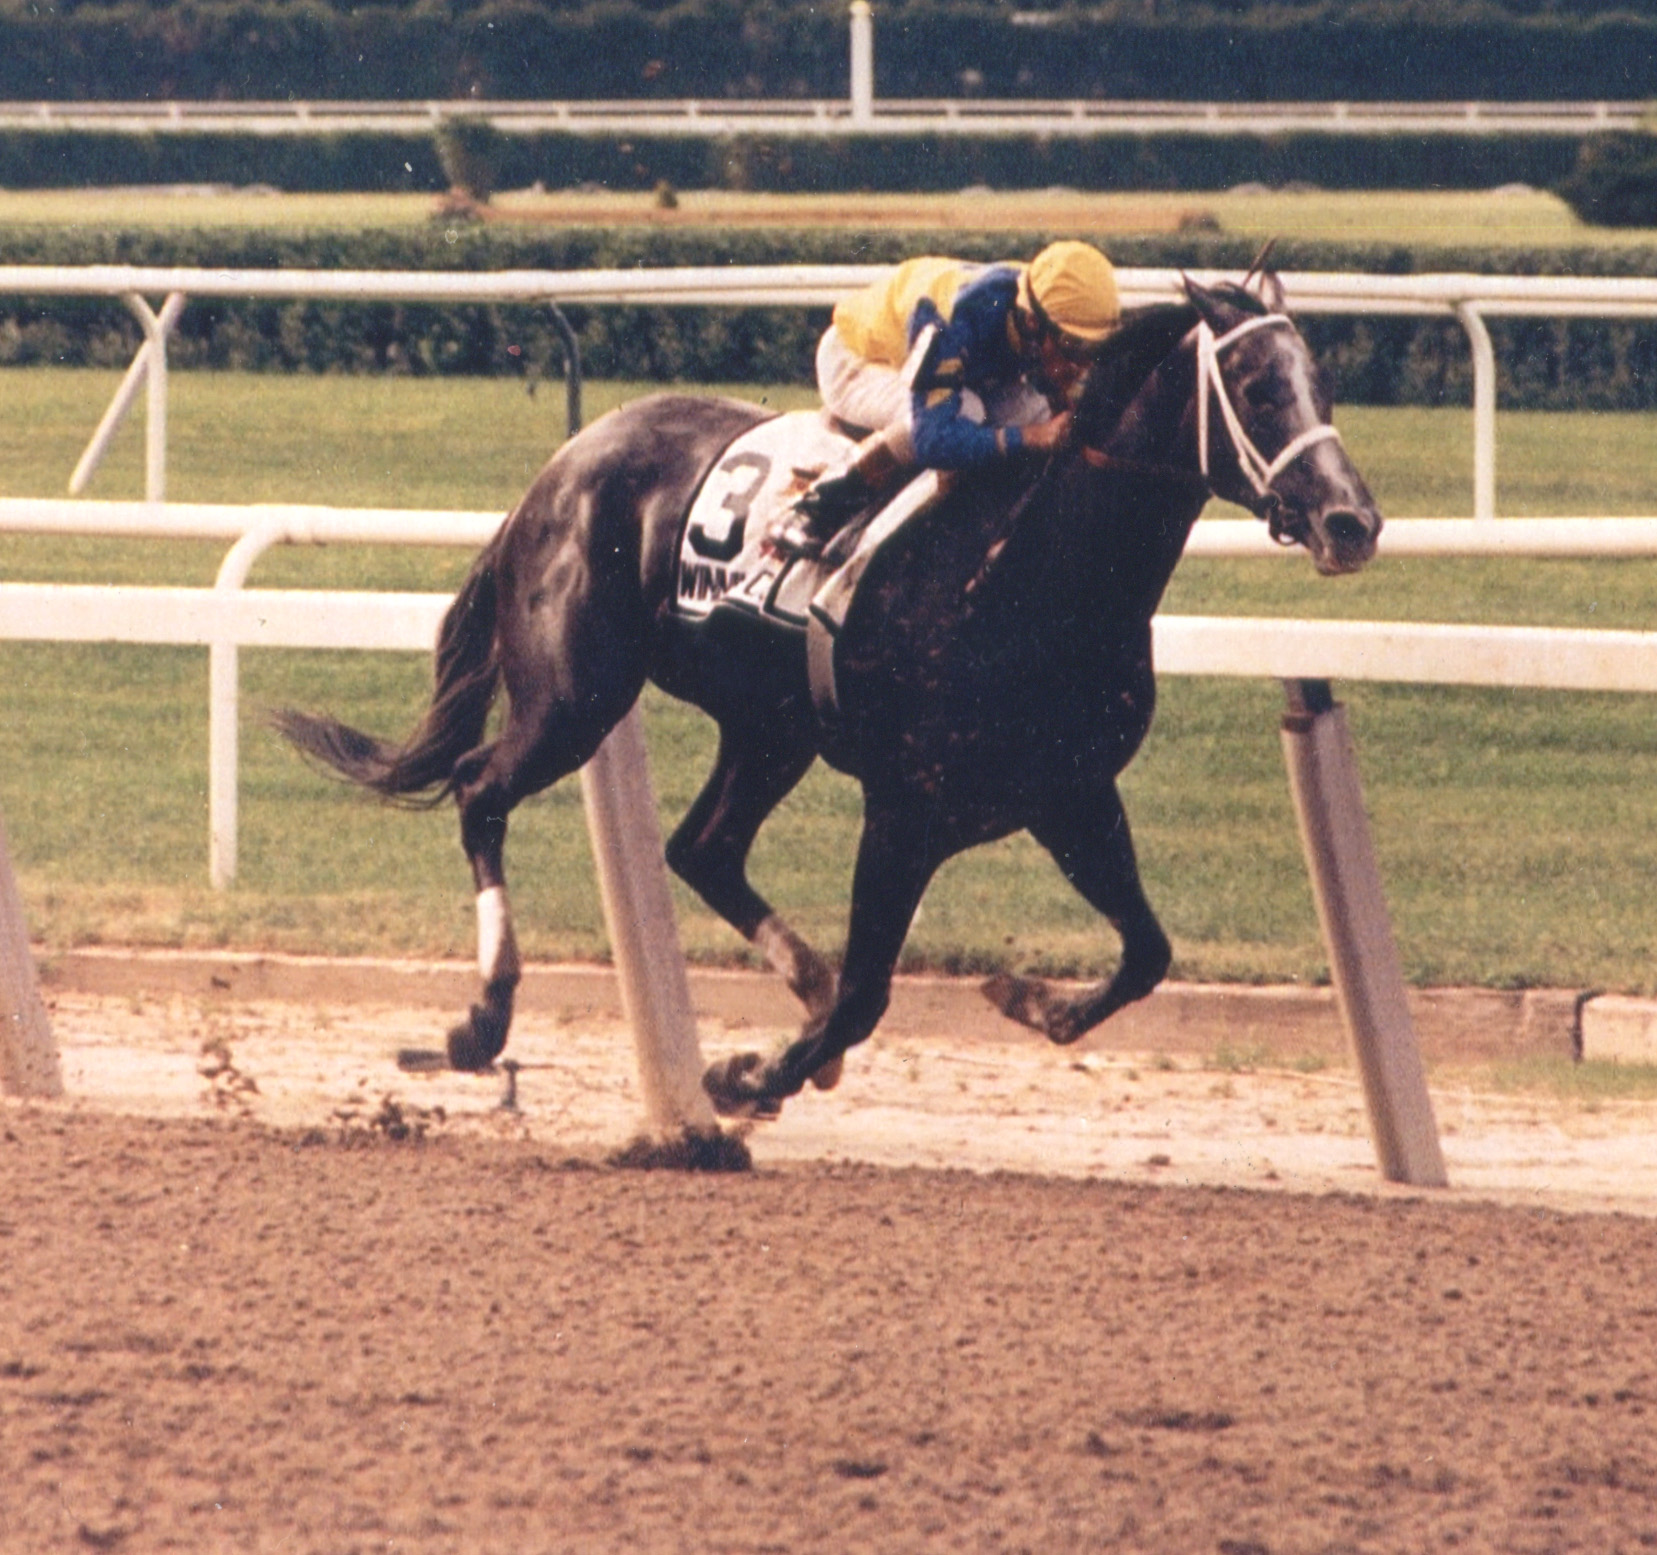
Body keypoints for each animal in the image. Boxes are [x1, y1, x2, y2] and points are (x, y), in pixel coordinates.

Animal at [278, 275, 1378, 1114]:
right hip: (573, 693)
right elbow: (867, 992)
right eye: (1254, 385)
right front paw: (747, 1075)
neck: (1028, 569)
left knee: (702, 848)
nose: (1351, 521)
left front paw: (1033, 1001)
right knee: (481, 790)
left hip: (767, 727)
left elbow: (1147, 950)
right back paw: (483, 1018)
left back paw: (791, 986)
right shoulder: (905, 808)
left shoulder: (1068, 794)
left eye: (1321, 380)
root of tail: (561, 466)